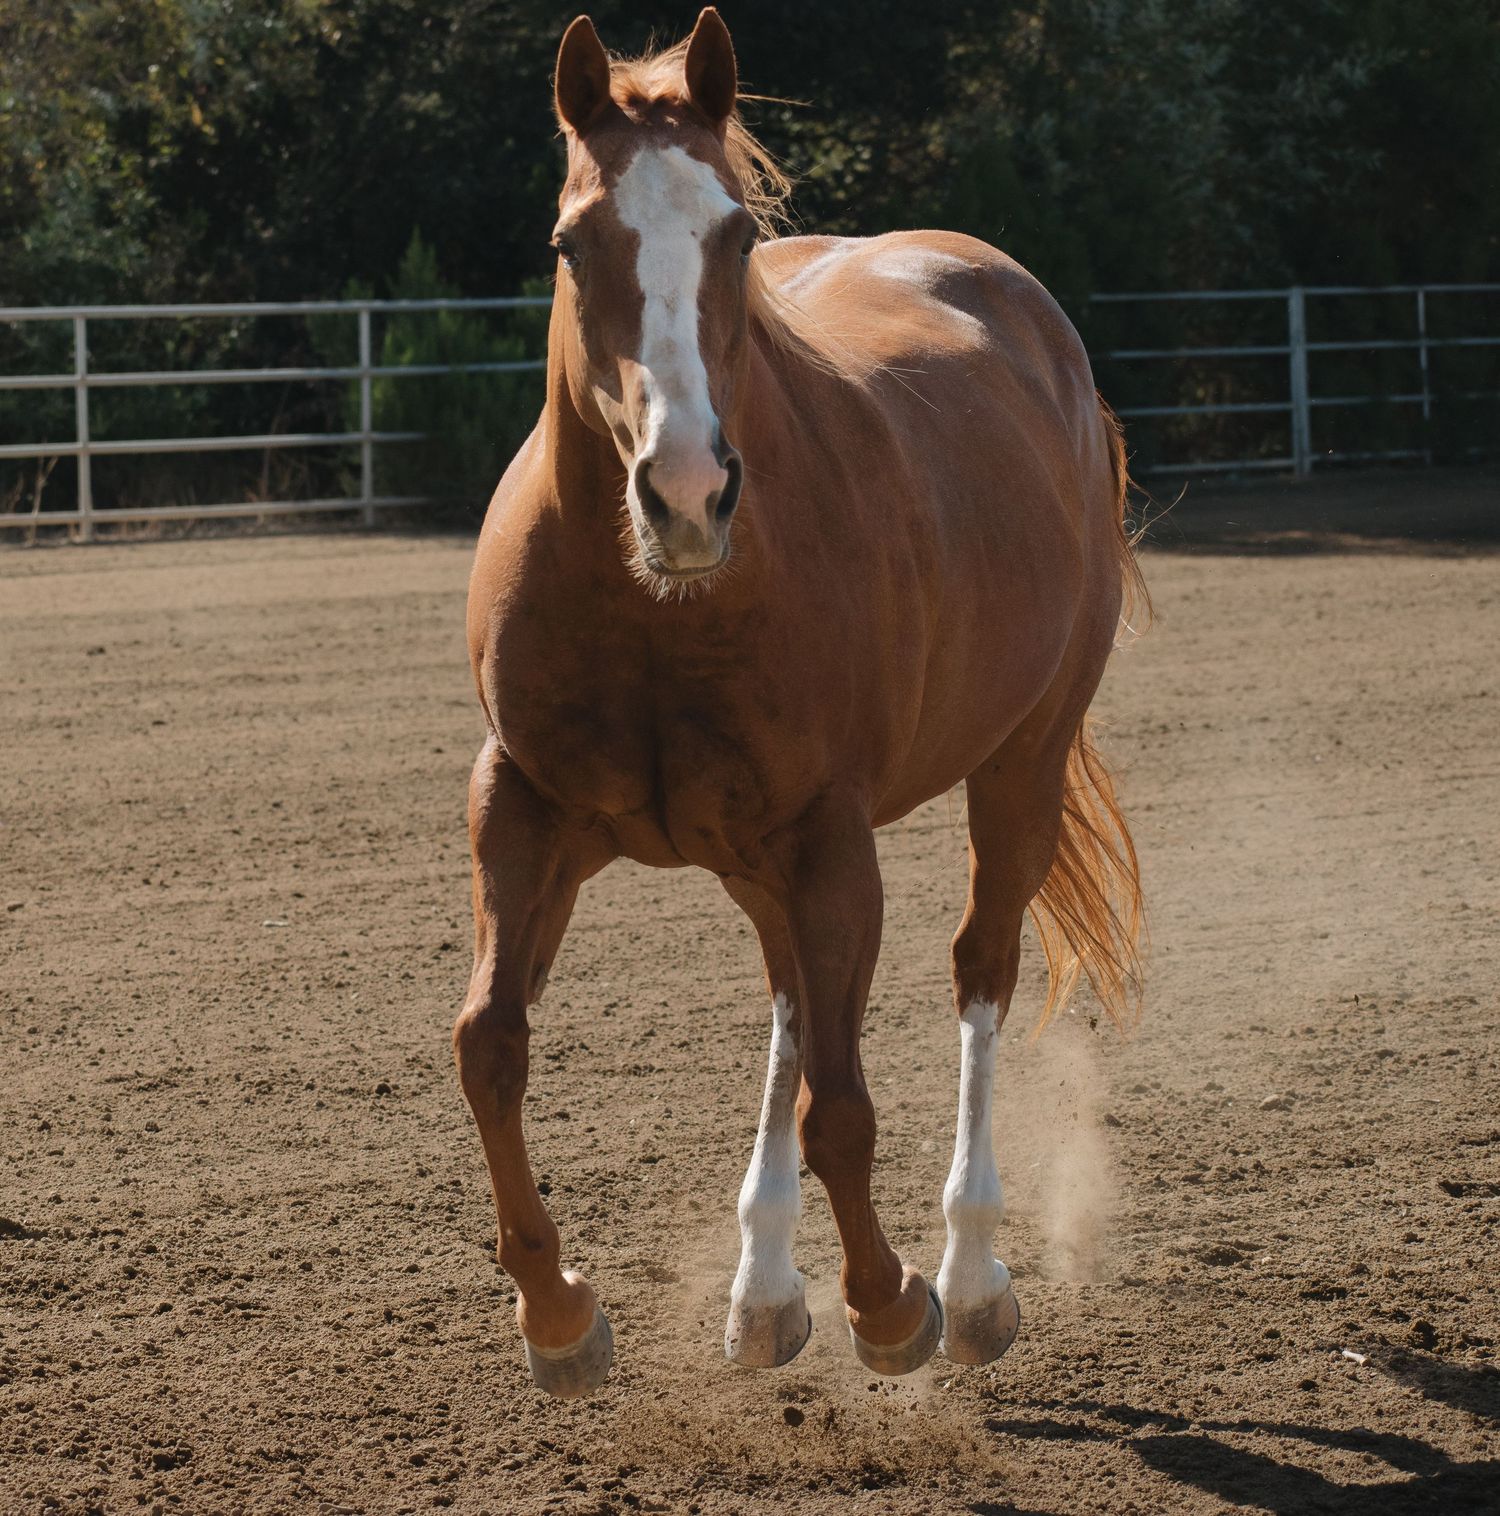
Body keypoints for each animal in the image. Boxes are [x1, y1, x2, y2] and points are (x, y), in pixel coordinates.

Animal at [455, 8, 1147, 1398]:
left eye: (736, 238)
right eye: (571, 241)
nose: (686, 489)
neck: (658, 607)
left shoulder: (830, 840)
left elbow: (844, 1102)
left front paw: (890, 1303)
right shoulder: (524, 805)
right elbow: (491, 1043)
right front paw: (556, 1311)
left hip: (1022, 765)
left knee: (977, 971)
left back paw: (972, 1277)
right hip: (752, 854)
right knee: (788, 1008)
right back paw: (765, 1288)